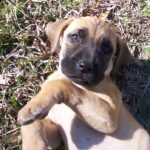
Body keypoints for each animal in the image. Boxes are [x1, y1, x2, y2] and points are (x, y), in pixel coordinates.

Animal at [17, 16, 149, 150]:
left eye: (106, 49)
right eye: (75, 37)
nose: (86, 66)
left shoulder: (109, 118)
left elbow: (62, 84)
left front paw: (33, 106)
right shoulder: (55, 134)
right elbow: (33, 125)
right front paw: (33, 142)